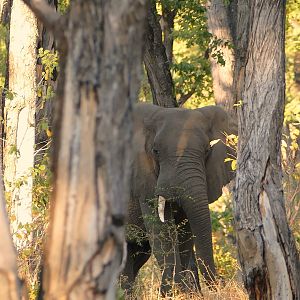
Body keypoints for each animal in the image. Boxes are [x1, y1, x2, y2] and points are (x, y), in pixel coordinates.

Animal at [122, 103, 237, 296]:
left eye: (207, 151)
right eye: (156, 151)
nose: (223, 283)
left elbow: (185, 231)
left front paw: (185, 292)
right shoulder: (143, 179)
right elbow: (162, 230)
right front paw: (174, 292)